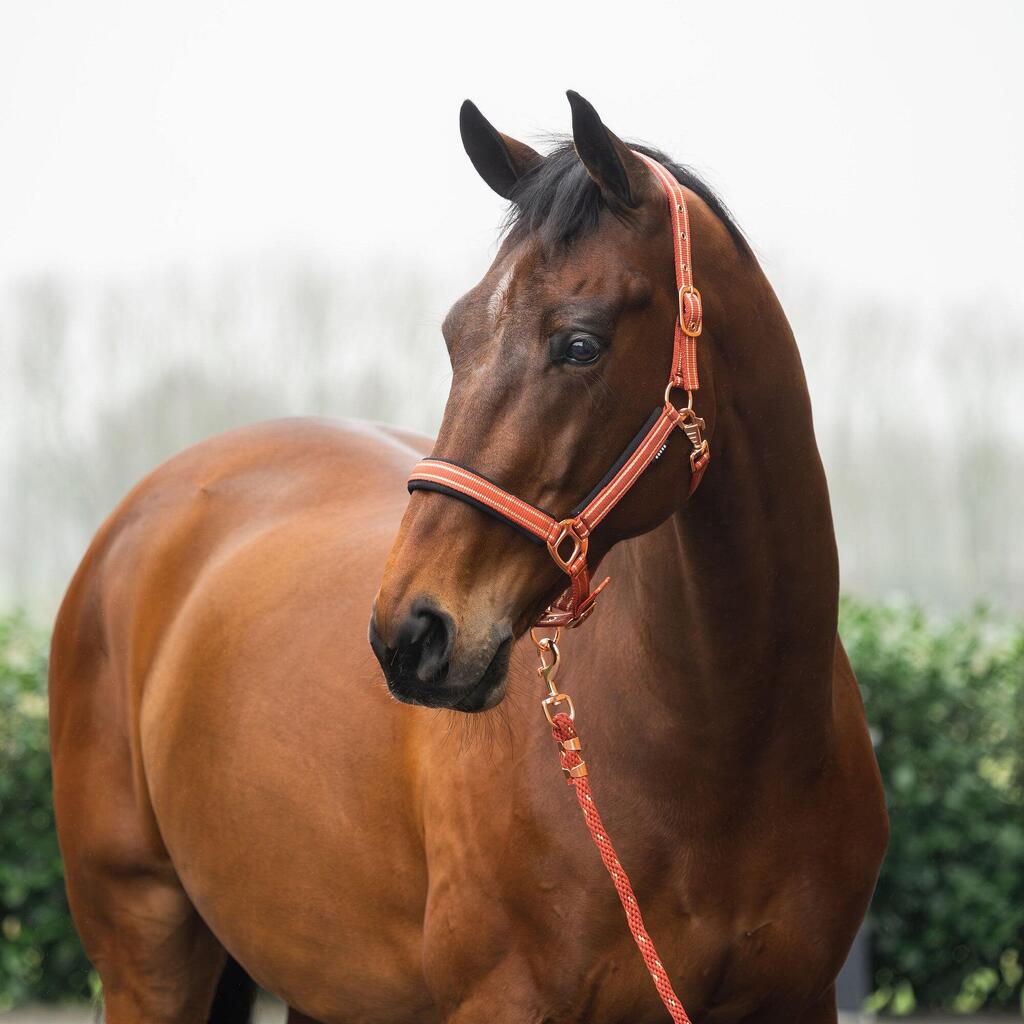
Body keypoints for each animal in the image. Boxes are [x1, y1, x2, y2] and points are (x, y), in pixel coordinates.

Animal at [49, 91, 888, 1023]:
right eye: (455, 334)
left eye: (581, 343)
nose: (410, 634)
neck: (728, 750)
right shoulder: (503, 1000)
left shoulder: (801, 998)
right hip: (147, 952)